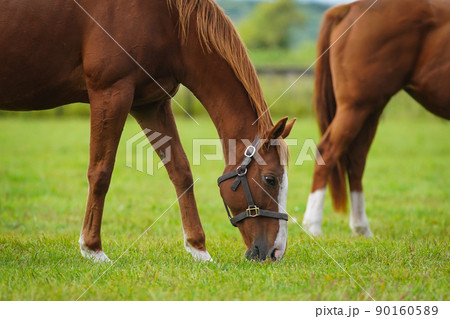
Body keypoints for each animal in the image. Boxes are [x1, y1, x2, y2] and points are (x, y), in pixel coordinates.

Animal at [0, 0, 296, 262]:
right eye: (270, 179)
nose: (276, 252)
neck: (168, 21)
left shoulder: (151, 104)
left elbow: (181, 172)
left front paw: (198, 249)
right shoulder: (111, 93)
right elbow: (101, 172)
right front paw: (92, 248)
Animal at [302, 0, 450, 238]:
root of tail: (350, 8)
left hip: (371, 109)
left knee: (356, 160)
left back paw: (361, 228)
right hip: (355, 107)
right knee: (327, 151)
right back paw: (313, 226)